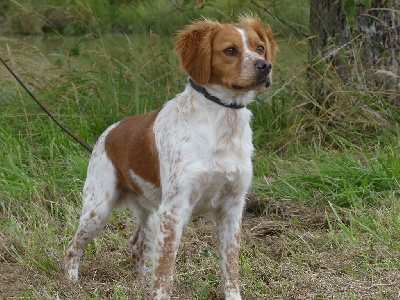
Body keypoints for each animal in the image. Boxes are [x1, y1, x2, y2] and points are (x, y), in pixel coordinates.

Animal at [66, 17, 276, 300]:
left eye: (260, 48)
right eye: (230, 50)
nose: (265, 66)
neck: (221, 125)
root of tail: (108, 133)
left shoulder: (232, 208)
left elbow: (230, 268)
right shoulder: (173, 211)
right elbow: (165, 273)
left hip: (147, 209)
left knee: (136, 244)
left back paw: (141, 280)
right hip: (98, 209)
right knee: (72, 245)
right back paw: (70, 281)